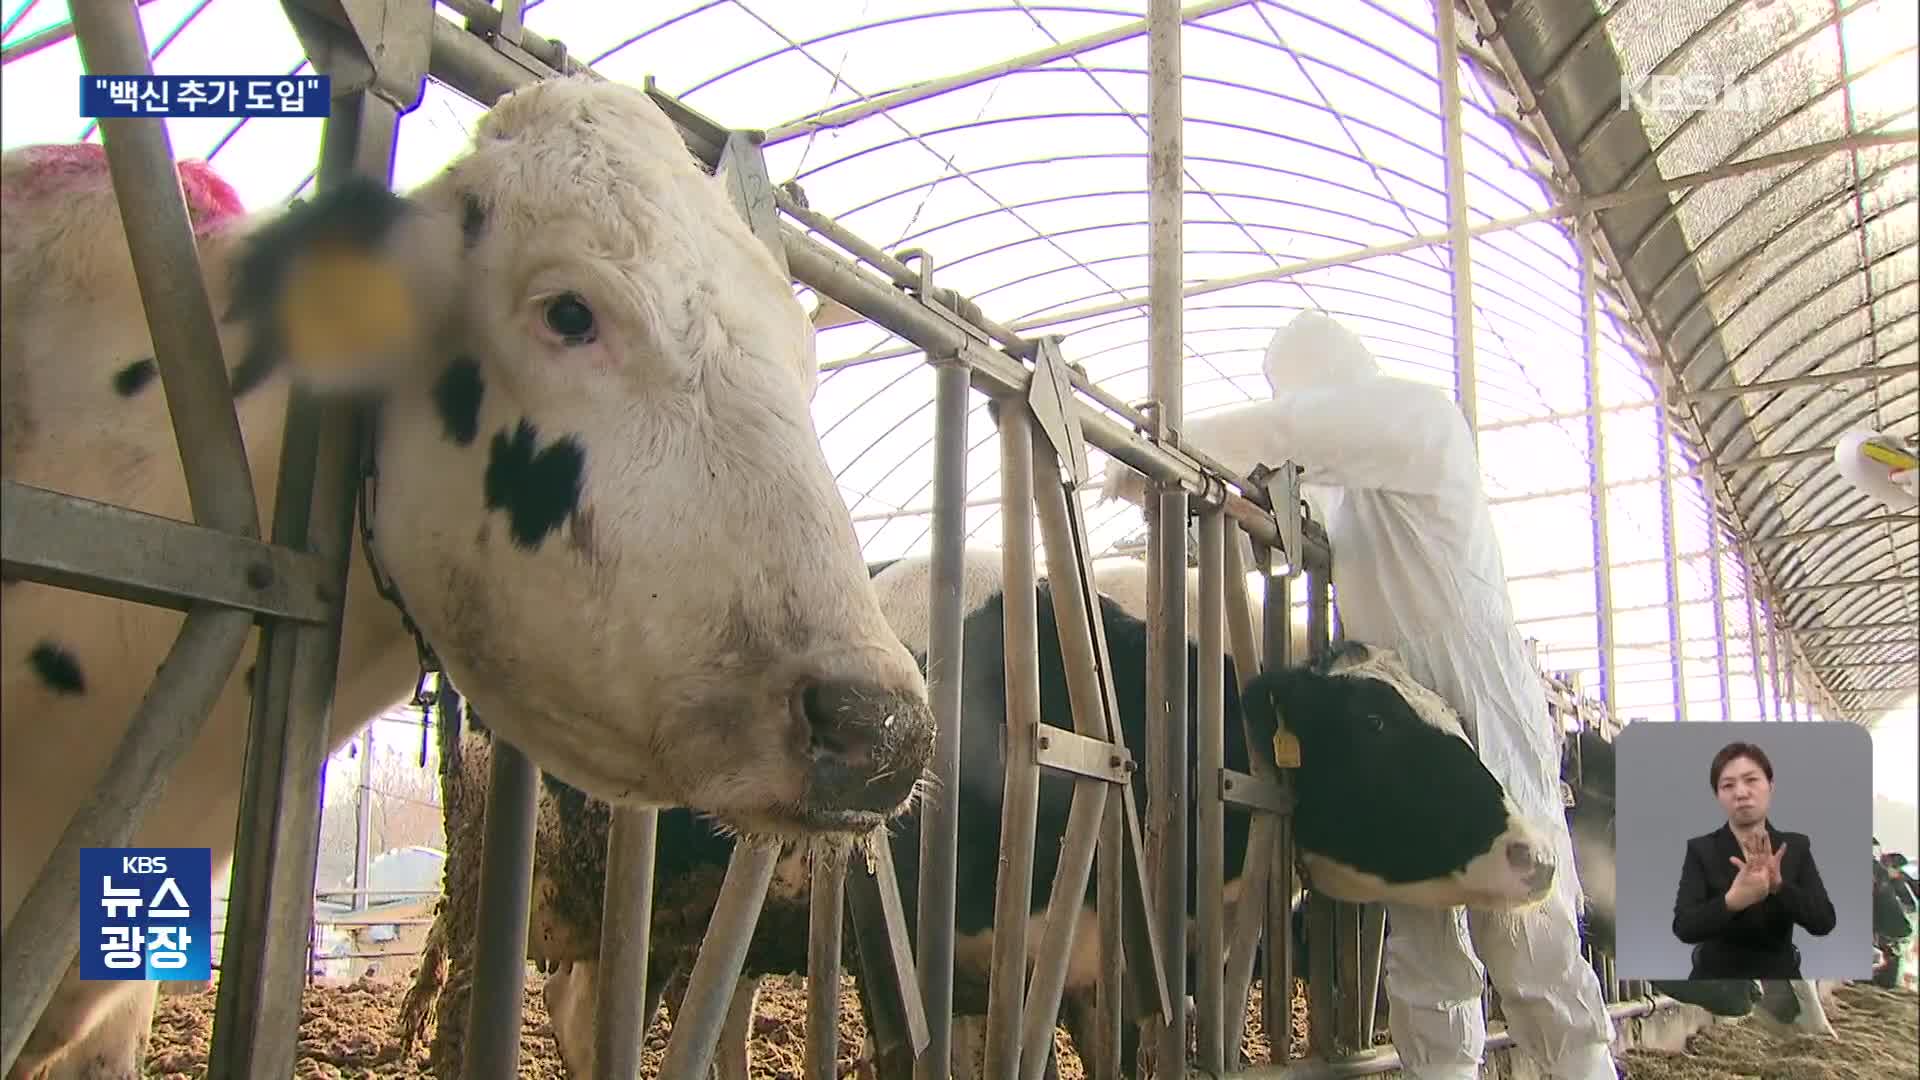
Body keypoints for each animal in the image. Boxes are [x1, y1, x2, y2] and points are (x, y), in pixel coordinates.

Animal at [416, 549, 1559, 1068]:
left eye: (1454, 714)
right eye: (1375, 725)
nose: (1539, 855)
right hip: (513, 894)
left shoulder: (1096, 966)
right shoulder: (929, 946)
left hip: (681, 923)